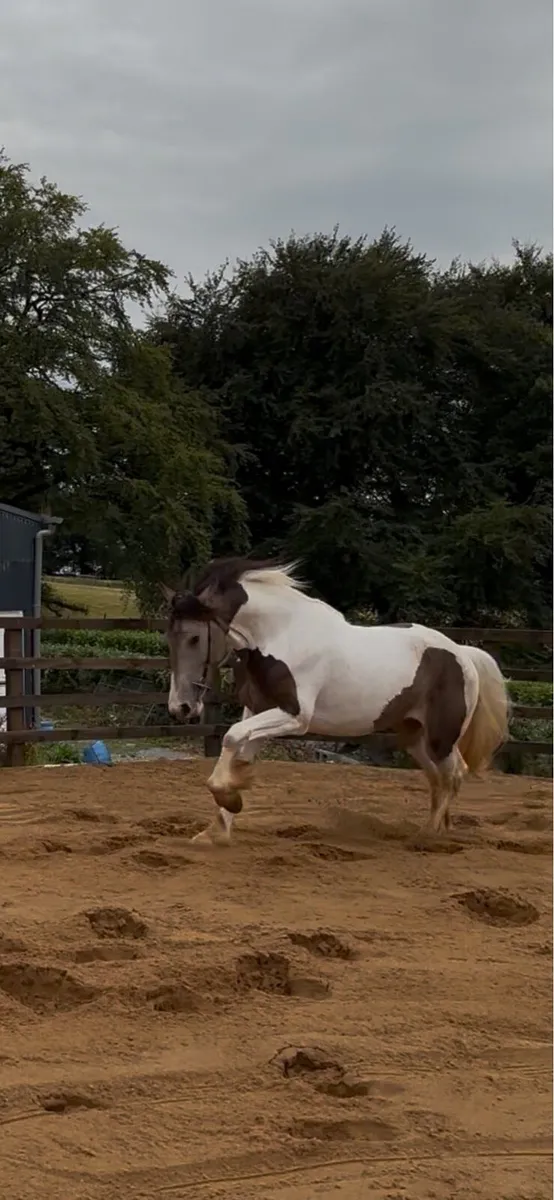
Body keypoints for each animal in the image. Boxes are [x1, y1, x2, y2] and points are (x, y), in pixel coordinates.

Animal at [163, 557, 510, 845]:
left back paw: (427, 838)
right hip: (414, 737)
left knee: (455, 774)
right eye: (170, 636)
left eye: (194, 637)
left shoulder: (295, 718)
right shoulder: (258, 709)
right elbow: (238, 751)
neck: (280, 636)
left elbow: (231, 737)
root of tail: (462, 653)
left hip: (441, 738)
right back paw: (437, 830)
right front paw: (217, 828)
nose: (180, 708)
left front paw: (230, 799)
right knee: (438, 779)